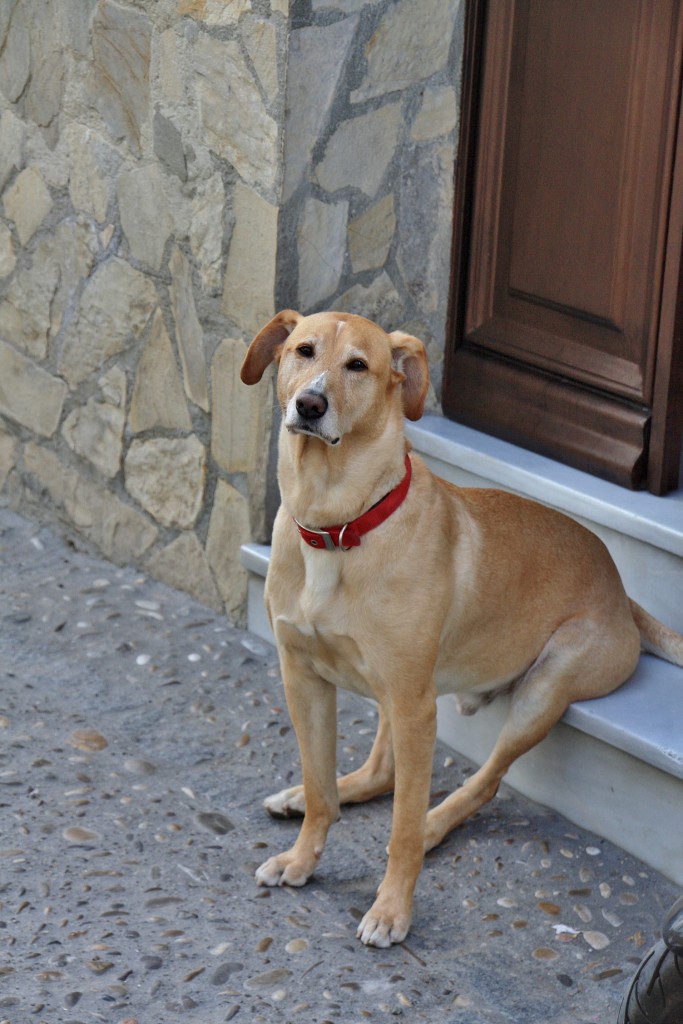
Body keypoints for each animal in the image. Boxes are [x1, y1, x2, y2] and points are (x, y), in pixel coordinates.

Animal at [239, 307, 683, 946]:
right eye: (303, 350)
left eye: (358, 365)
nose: (310, 404)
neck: (340, 525)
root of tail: (625, 596)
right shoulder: (305, 679)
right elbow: (323, 791)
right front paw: (302, 856)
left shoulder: (414, 704)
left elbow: (400, 830)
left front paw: (392, 909)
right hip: (406, 695)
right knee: (379, 773)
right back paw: (305, 797)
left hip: (543, 686)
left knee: (478, 784)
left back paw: (431, 826)